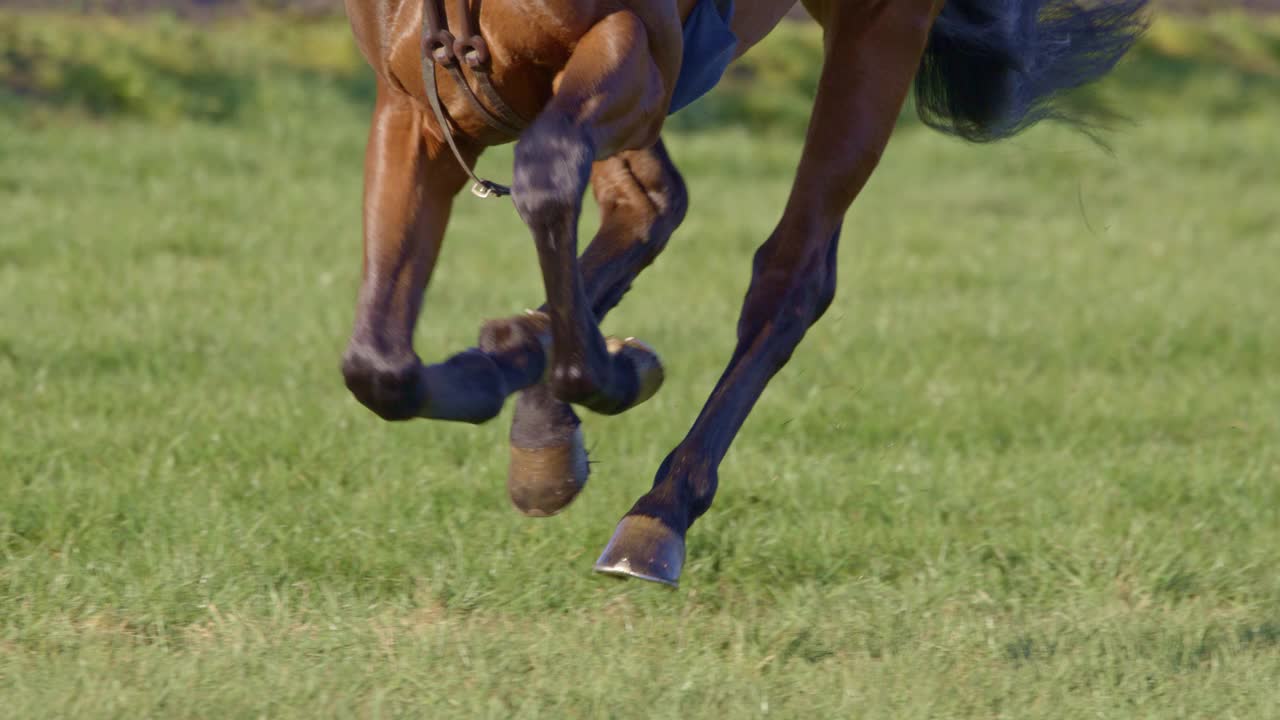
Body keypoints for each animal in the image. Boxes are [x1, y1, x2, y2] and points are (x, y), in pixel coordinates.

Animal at [340, 0, 1152, 584]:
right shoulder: (414, 107)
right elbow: (378, 365)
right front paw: (505, 375)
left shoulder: (639, 49)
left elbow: (546, 173)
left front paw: (607, 373)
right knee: (649, 204)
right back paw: (536, 396)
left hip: (875, 33)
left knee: (791, 275)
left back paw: (658, 511)